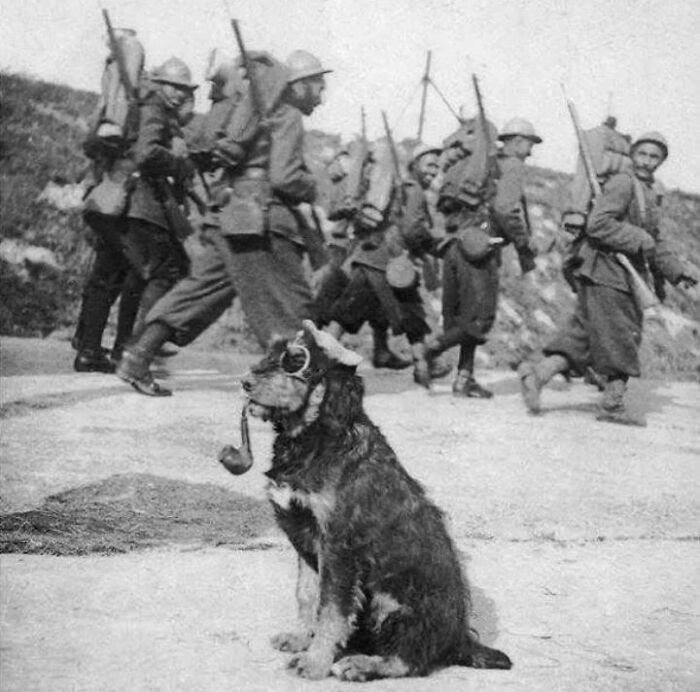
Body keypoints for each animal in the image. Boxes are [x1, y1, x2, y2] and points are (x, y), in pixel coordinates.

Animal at [232, 322, 512, 680]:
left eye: (295, 360)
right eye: (271, 353)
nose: (245, 382)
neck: (315, 439)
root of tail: (460, 639)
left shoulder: (338, 549)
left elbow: (331, 610)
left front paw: (315, 661)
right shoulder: (305, 540)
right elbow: (307, 594)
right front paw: (300, 638)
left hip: (392, 602)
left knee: (408, 658)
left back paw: (359, 664)